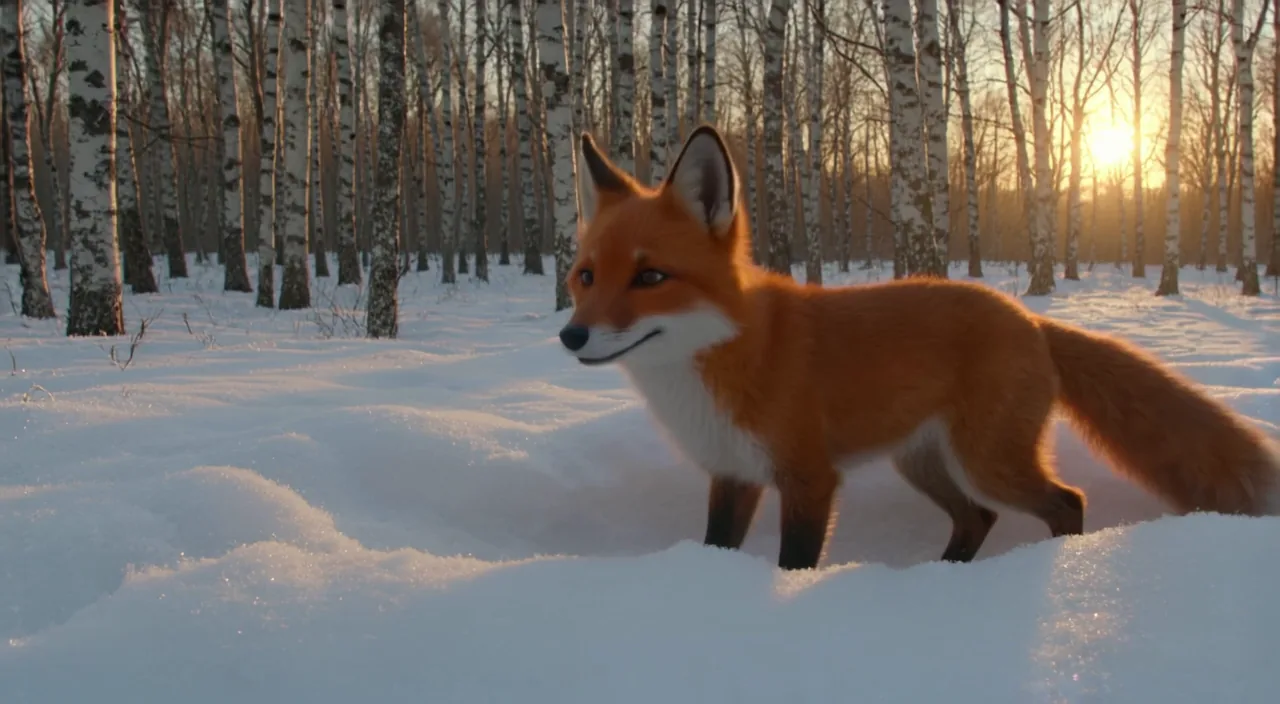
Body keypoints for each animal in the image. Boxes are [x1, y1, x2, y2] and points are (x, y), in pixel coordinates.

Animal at [558, 123, 1280, 571]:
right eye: (585, 276)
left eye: (651, 278)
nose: (571, 336)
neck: (721, 362)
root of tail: (1028, 318)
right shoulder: (732, 474)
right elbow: (717, 547)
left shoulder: (809, 477)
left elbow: (794, 563)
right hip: (926, 464)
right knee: (977, 519)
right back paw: (942, 581)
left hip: (985, 461)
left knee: (1065, 502)